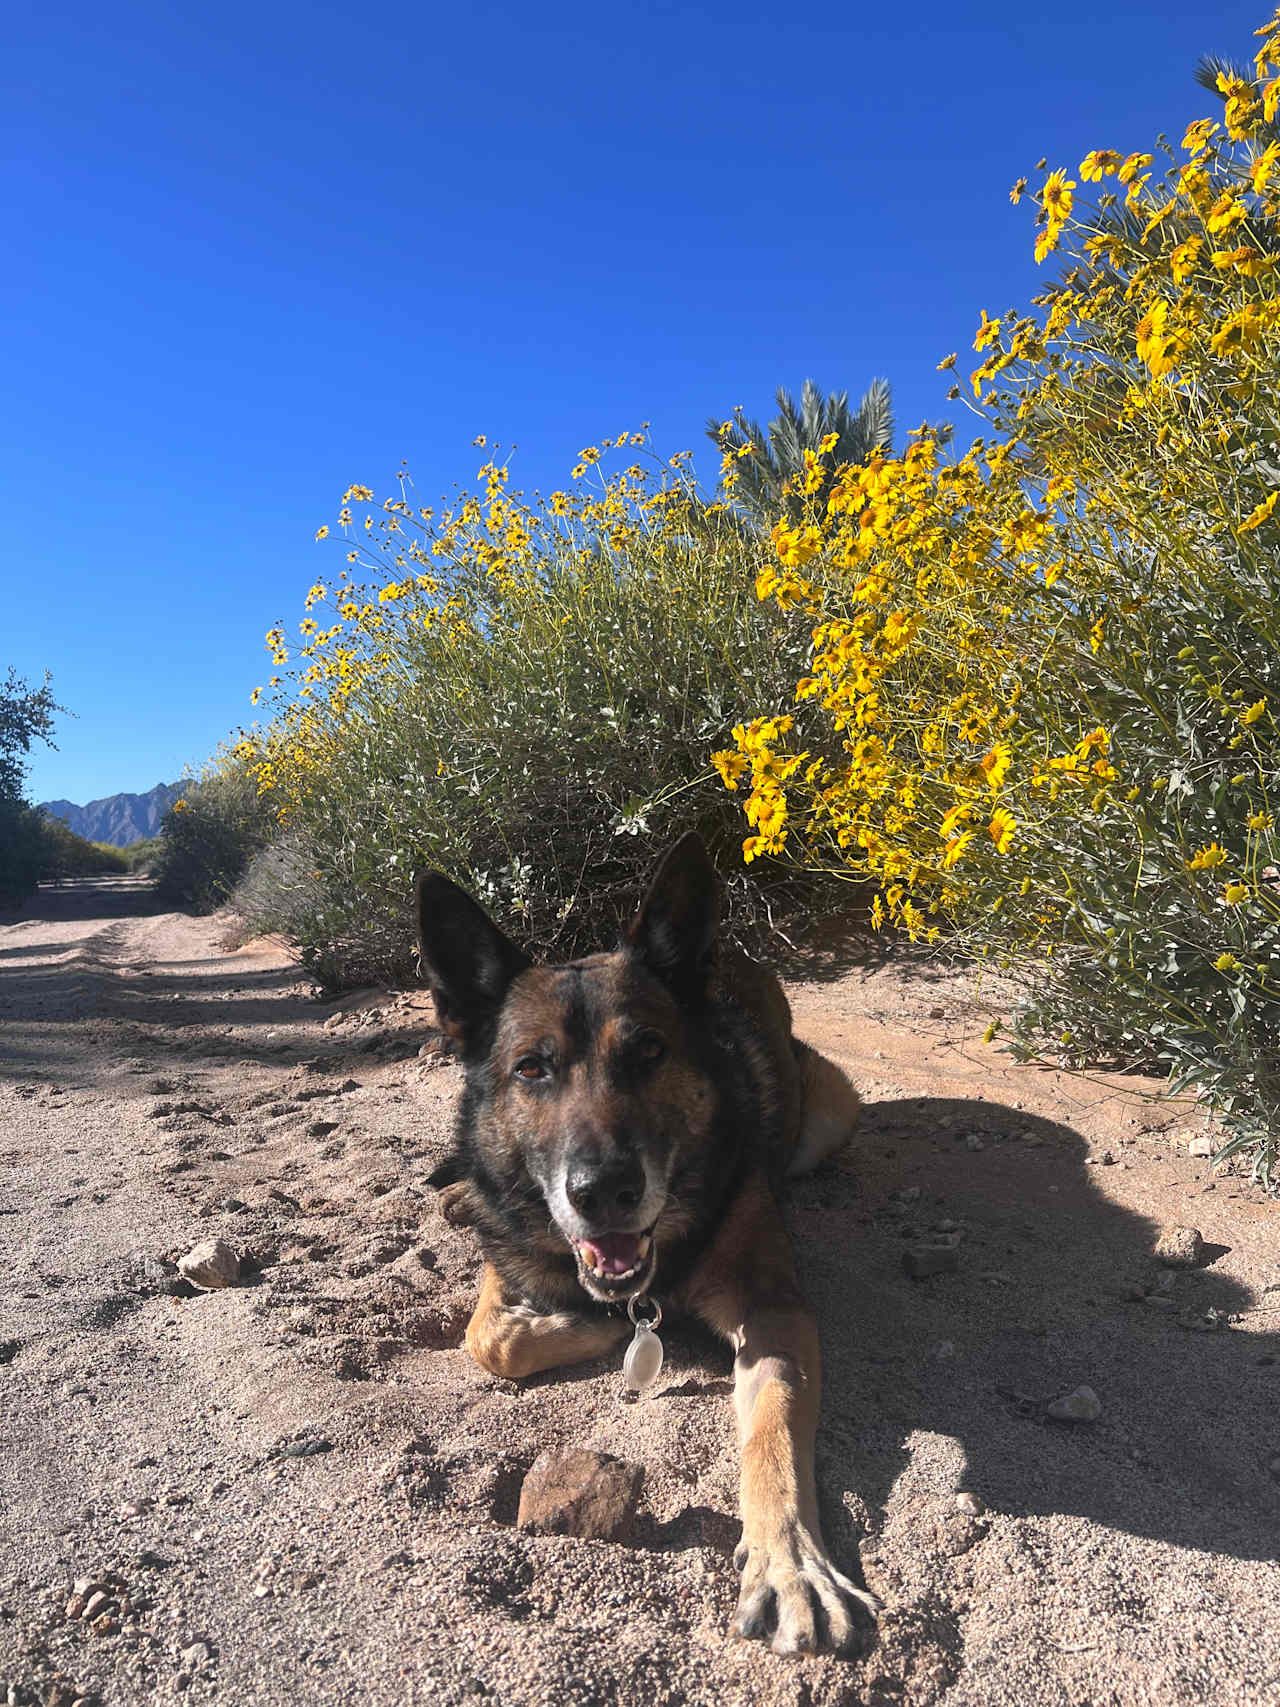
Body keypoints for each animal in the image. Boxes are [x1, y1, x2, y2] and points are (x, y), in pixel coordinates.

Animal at [416, 833, 880, 1659]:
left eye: (649, 1052)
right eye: (531, 1066)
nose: (602, 1191)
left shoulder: (774, 1313)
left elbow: (773, 1433)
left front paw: (790, 1562)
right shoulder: (514, 1249)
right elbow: (489, 1336)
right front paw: (581, 1322)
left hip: (833, 1109)